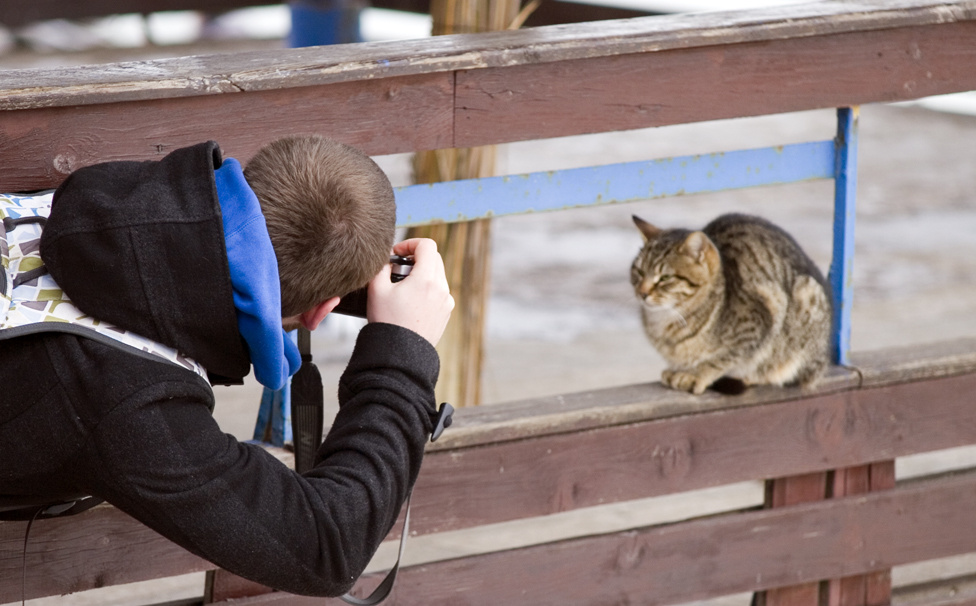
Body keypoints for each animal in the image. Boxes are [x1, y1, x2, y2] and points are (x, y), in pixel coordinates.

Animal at [630, 213, 831, 395]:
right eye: (639, 272)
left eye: (665, 278)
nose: (642, 293)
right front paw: (679, 369)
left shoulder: (759, 322)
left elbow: (723, 357)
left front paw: (696, 374)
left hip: (806, 295)